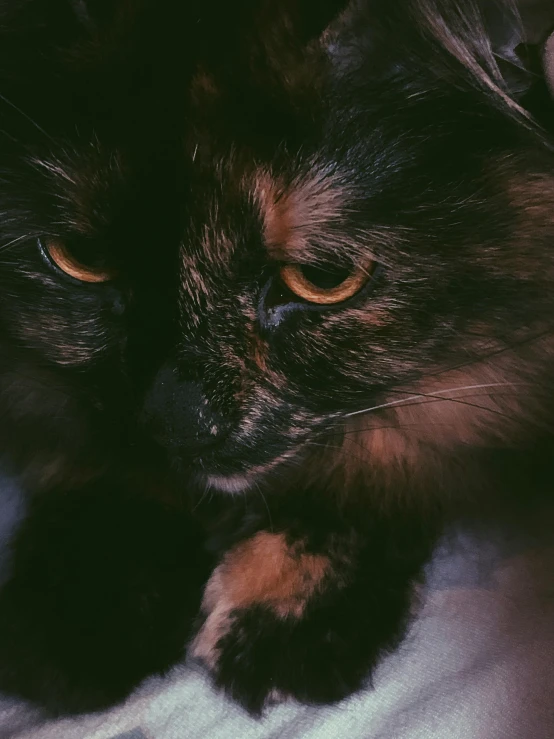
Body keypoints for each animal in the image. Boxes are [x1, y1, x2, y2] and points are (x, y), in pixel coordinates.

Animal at [0, 0, 552, 724]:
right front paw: (89, 601)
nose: (179, 421)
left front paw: (289, 611)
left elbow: (392, 441)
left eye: (323, 278)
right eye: (80, 258)